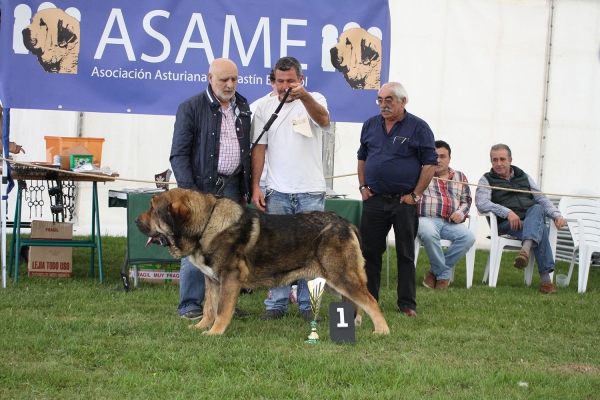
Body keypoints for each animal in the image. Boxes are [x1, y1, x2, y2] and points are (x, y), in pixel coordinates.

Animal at [135, 189, 390, 336]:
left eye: (152, 209)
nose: (136, 221)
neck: (207, 223)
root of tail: (346, 223)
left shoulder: (230, 277)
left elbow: (222, 309)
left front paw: (215, 333)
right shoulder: (212, 280)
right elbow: (209, 308)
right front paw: (201, 328)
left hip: (341, 277)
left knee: (370, 301)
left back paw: (382, 331)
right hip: (331, 282)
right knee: (357, 303)